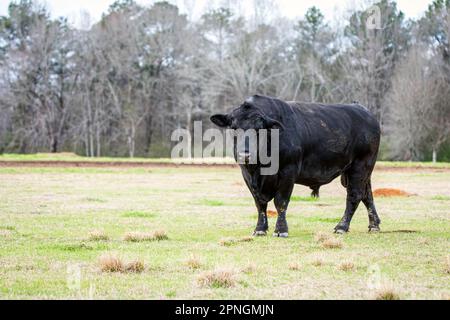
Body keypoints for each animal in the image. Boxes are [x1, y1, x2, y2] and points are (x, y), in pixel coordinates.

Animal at [211, 94, 380, 236]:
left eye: (259, 130)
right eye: (233, 128)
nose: (245, 154)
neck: (259, 169)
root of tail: (362, 109)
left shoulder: (288, 172)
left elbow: (281, 202)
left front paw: (281, 230)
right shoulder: (247, 175)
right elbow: (259, 204)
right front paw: (260, 229)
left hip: (361, 166)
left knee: (354, 195)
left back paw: (341, 227)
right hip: (358, 172)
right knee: (367, 195)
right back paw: (374, 225)